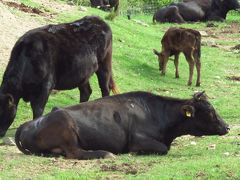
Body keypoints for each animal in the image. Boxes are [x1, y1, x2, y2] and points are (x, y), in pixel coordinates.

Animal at [15, 90, 229, 160]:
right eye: (210, 111)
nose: (227, 127)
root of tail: (27, 124)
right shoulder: (139, 139)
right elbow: (162, 149)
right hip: (66, 125)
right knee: (75, 152)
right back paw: (104, 153)